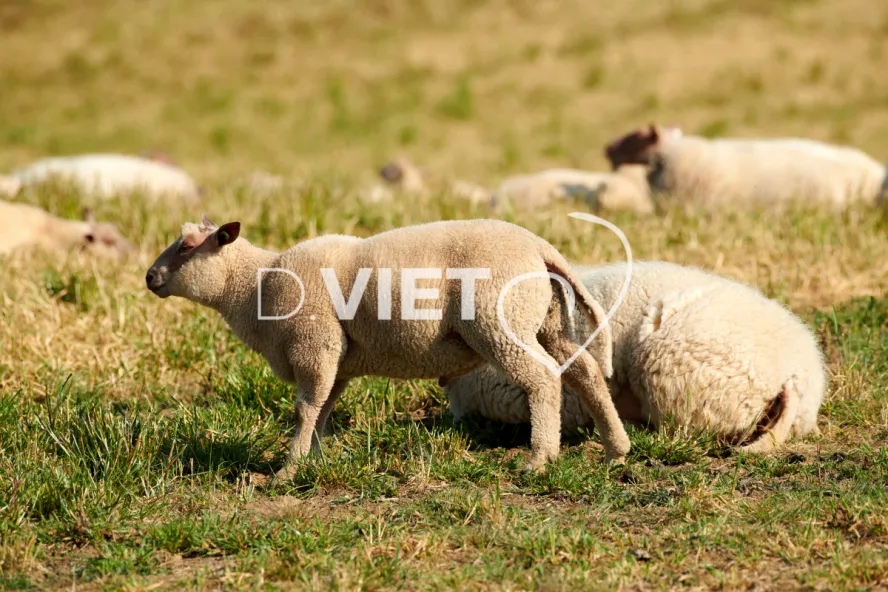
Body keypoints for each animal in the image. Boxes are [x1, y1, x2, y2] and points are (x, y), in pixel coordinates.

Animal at [145, 215, 630, 478]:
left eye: (187, 247)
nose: (149, 277)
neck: (254, 286)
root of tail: (539, 246)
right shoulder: (335, 360)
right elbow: (323, 408)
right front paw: (313, 461)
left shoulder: (313, 346)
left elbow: (305, 409)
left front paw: (287, 470)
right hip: (542, 320)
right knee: (585, 370)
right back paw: (616, 448)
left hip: (498, 323)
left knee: (544, 380)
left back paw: (540, 458)